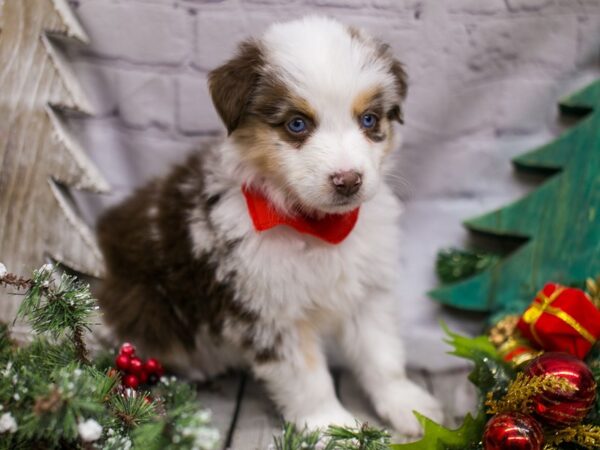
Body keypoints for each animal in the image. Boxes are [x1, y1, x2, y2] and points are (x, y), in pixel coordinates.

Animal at [98, 15, 442, 434]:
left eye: (369, 120)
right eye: (296, 124)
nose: (348, 181)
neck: (317, 227)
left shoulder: (367, 291)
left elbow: (382, 356)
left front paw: (409, 405)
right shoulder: (268, 310)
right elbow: (307, 379)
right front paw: (331, 428)